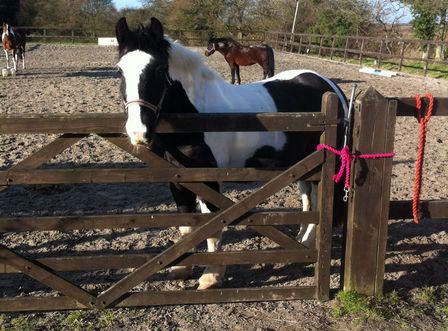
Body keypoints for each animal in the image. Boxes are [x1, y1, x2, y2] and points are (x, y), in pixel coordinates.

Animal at [114, 16, 348, 290]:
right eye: (119, 71)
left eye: (159, 70)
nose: (138, 132)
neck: (198, 116)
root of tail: (329, 86)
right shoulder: (178, 180)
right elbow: (186, 224)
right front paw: (182, 267)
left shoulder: (209, 179)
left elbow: (212, 227)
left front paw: (211, 276)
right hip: (303, 164)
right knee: (308, 201)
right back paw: (301, 242)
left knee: (319, 203)